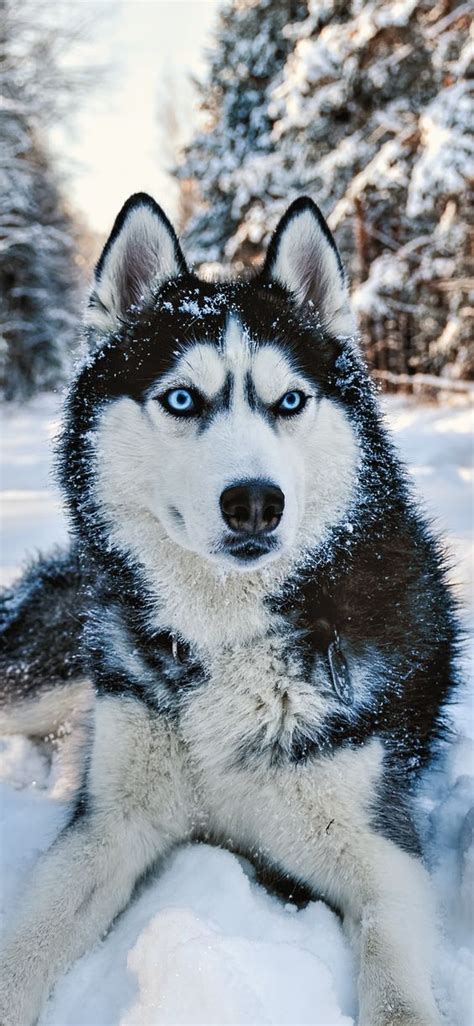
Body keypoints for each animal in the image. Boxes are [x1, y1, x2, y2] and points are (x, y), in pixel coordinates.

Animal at [0, 193, 459, 1026]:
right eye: (183, 399)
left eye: (291, 401)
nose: (254, 502)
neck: (229, 636)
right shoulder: (109, 824)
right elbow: (25, 949)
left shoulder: (381, 850)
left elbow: (397, 991)